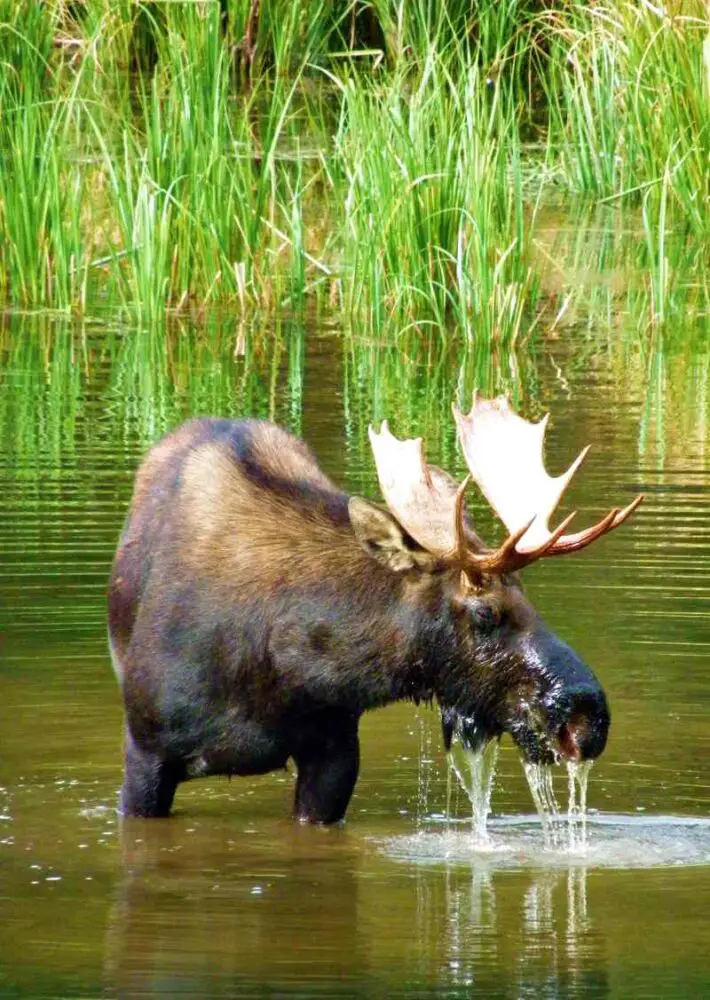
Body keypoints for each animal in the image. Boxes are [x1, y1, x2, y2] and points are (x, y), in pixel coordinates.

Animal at [107, 394, 644, 824]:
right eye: (484, 612)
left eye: (528, 596)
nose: (587, 718)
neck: (283, 666)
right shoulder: (146, 752)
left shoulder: (336, 751)